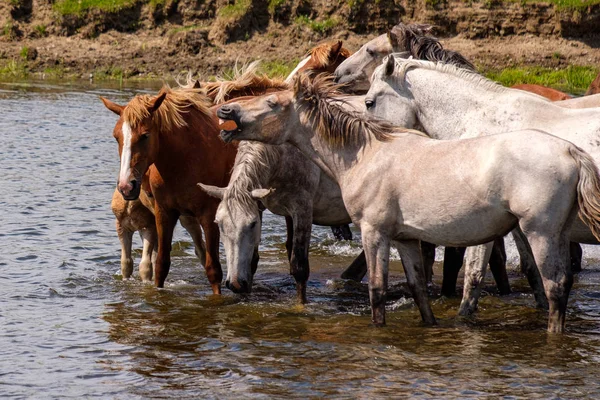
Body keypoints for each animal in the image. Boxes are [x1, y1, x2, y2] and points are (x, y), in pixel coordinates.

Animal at [101, 86, 237, 292]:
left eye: (145, 135)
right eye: (116, 136)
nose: (126, 186)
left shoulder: (208, 215)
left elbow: (213, 268)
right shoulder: (163, 213)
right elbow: (161, 265)